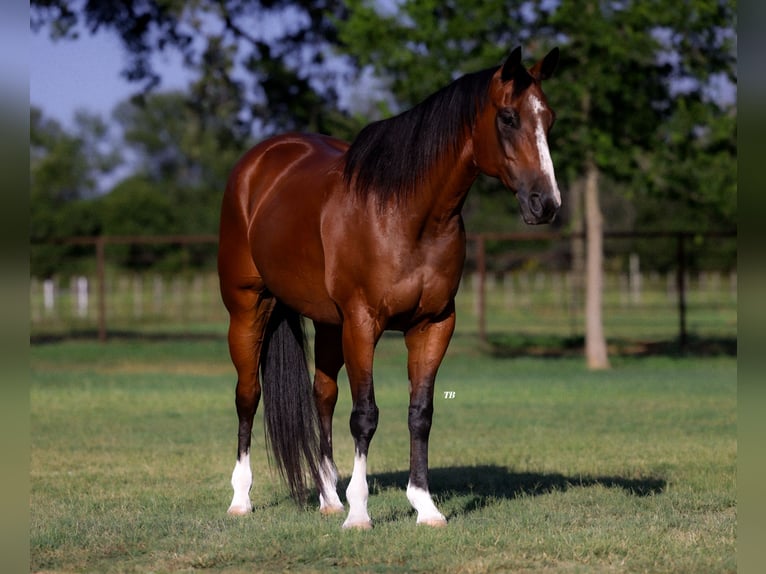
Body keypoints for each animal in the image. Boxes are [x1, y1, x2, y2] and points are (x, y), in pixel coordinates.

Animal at [219, 46, 560, 532]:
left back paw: (329, 497)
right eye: (509, 117)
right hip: (248, 308)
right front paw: (360, 513)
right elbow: (365, 415)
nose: (546, 204)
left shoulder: (433, 324)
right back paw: (241, 499)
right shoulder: (364, 323)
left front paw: (425, 506)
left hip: (329, 324)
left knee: (322, 396)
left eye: (548, 119)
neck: (406, 214)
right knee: (248, 395)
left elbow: (420, 413)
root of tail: (259, 162)